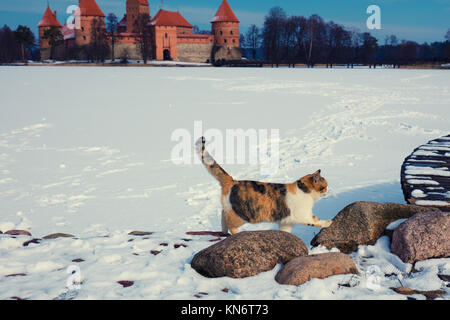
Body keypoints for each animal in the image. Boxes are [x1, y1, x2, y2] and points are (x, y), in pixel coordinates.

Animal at [195, 136, 332, 234]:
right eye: (324, 186)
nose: (329, 190)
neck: (303, 191)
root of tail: (232, 181)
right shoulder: (304, 216)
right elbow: (316, 221)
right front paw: (328, 223)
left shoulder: (286, 222)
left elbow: (286, 232)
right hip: (244, 215)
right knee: (229, 222)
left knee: (223, 214)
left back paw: (223, 232)